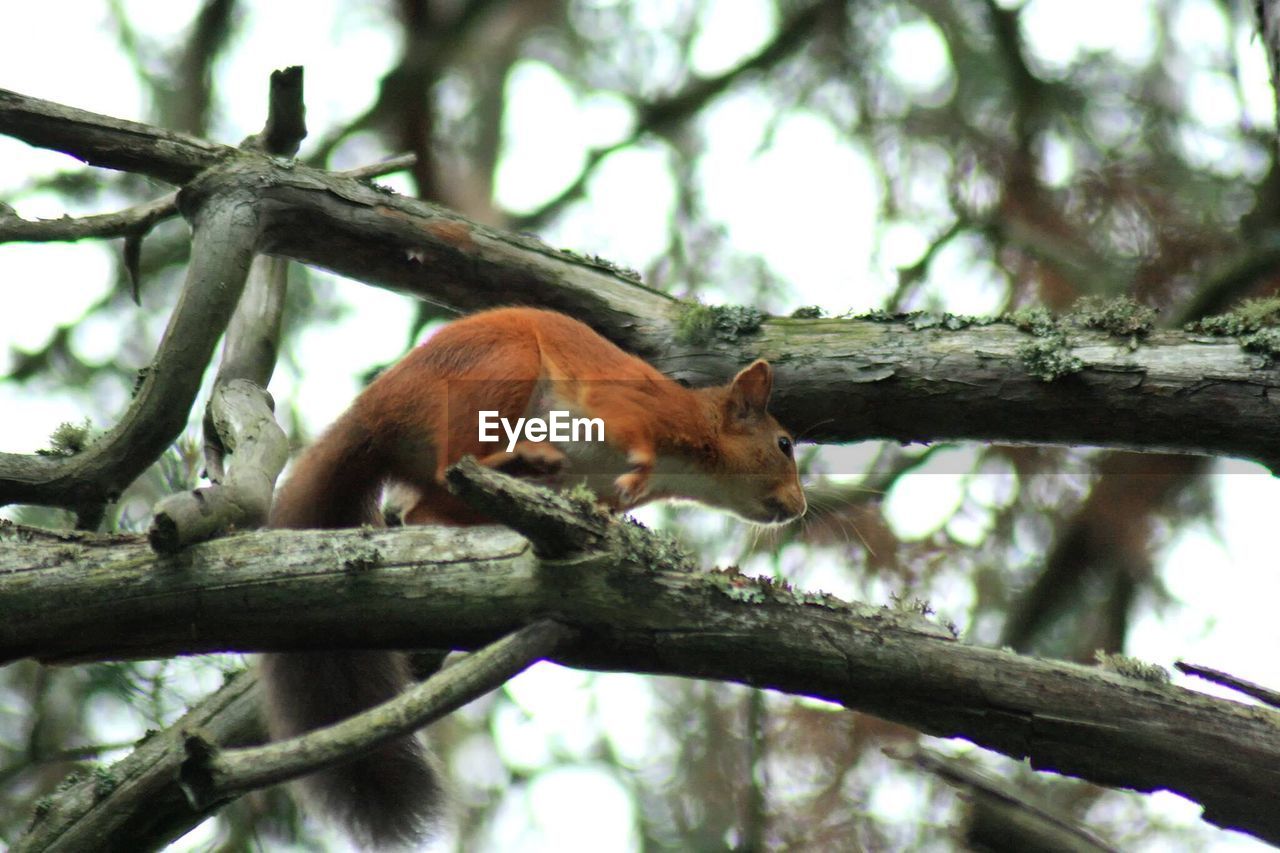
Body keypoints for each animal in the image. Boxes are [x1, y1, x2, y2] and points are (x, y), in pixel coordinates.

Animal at [261, 306, 803, 845]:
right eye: (784, 444)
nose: (798, 508)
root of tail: (372, 413)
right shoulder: (625, 405)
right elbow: (632, 437)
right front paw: (639, 473)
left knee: (425, 508)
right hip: (498, 372)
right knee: (449, 464)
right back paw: (522, 458)